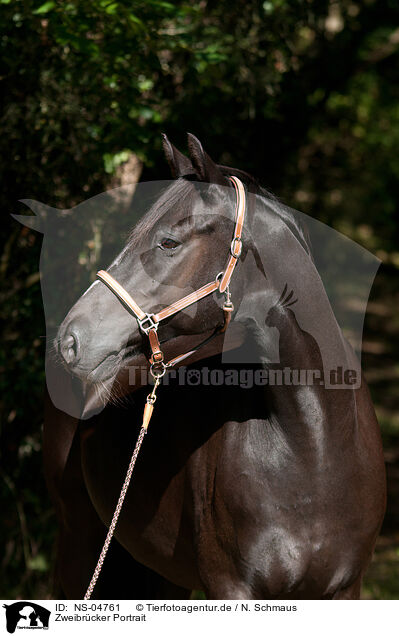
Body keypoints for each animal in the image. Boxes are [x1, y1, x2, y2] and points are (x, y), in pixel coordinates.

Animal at [44, 133, 388, 596]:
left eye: (169, 242)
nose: (70, 339)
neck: (315, 449)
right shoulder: (230, 587)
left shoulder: (345, 589)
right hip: (78, 538)